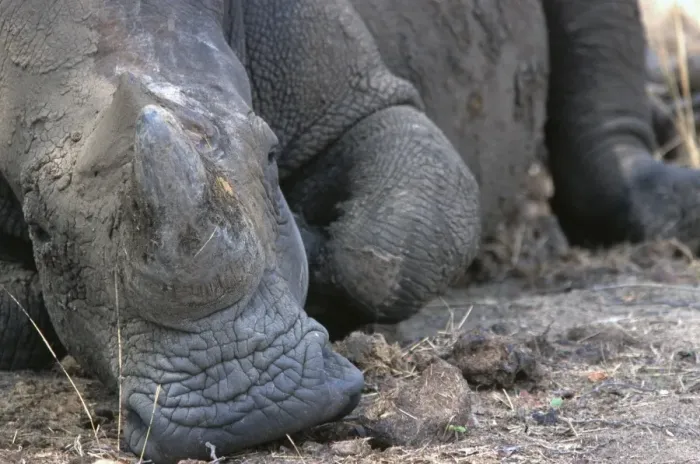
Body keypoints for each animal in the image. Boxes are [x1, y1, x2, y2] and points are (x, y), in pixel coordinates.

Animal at [1, 0, 699, 462]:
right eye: (41, 231)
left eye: (271, 154)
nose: (251, 406)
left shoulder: (362, 99)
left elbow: (406, 237)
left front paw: (309, 239)